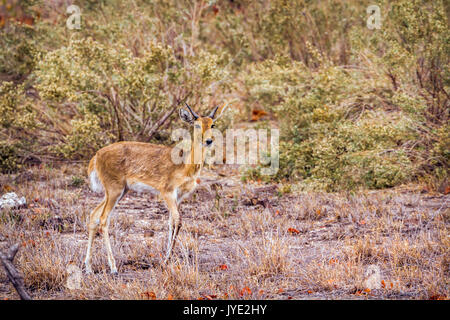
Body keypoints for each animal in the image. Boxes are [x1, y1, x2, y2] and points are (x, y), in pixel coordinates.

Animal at [83, 104, 224, 274]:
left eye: (212, 124)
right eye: (196, 125)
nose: (208, 141)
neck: (185, 165)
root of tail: (97, 155)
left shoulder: (179, 197)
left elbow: (171, 222)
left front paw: (167, 259)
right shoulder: (167, 193)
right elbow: (178, 221)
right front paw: (167, 260)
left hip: (118, 192)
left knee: (93, 215)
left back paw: (89, 267)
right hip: (114, 191)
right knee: (104, 219)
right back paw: (113, 267)